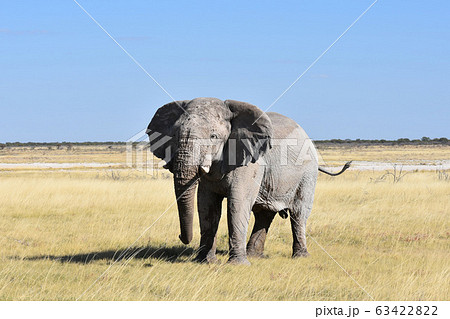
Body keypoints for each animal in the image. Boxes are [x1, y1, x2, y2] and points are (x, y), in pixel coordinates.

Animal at [146, 97, 350, 264]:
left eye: (213, 136)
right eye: (174, 135)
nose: (181, 237)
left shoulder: (251, 162)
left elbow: (237, 204)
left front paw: (237, 264)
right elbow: (207, 205)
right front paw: (205, 261)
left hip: (307, 174)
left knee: (299, 214)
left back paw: (300, 257)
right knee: (264, 214)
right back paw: (254, 256)